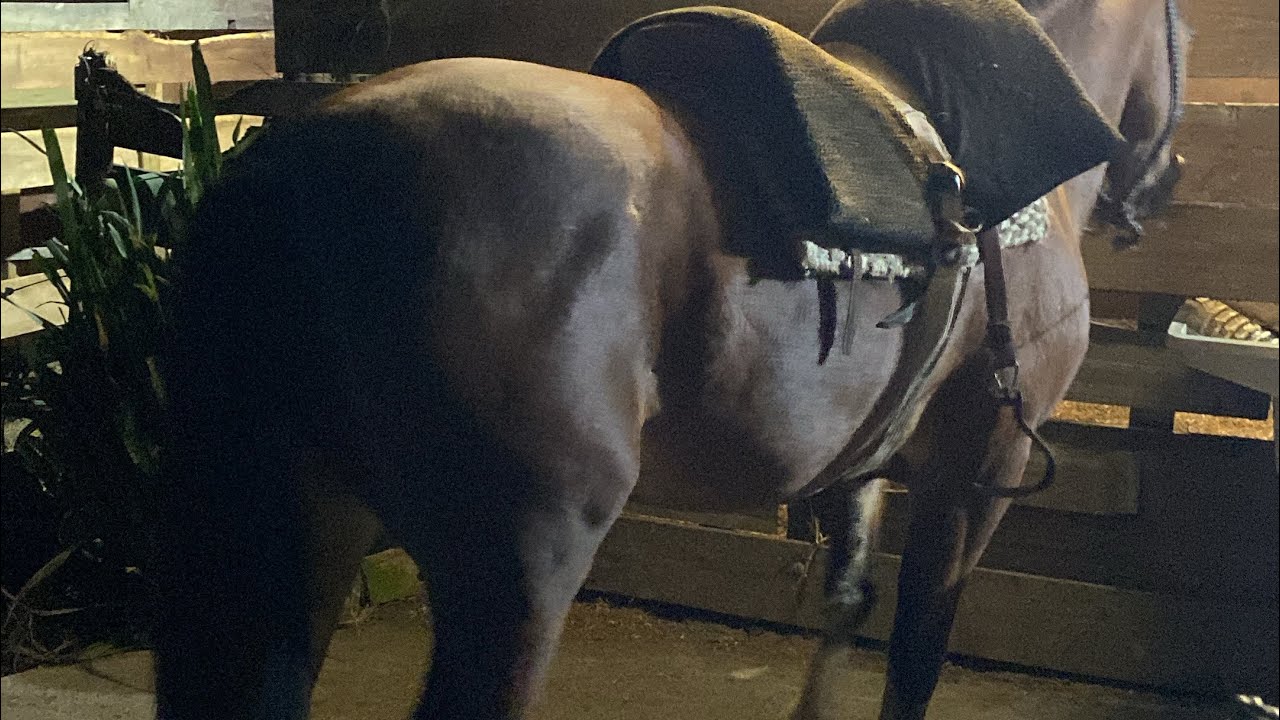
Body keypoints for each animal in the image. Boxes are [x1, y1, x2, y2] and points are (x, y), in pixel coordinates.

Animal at [152, 0, 1185, 718]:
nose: (1159, 187)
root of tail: (289, 175)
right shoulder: (978, 473)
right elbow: (918, 652)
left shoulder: (865, 467)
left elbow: (846, 610)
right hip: (519, 564)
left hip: (293, 529)